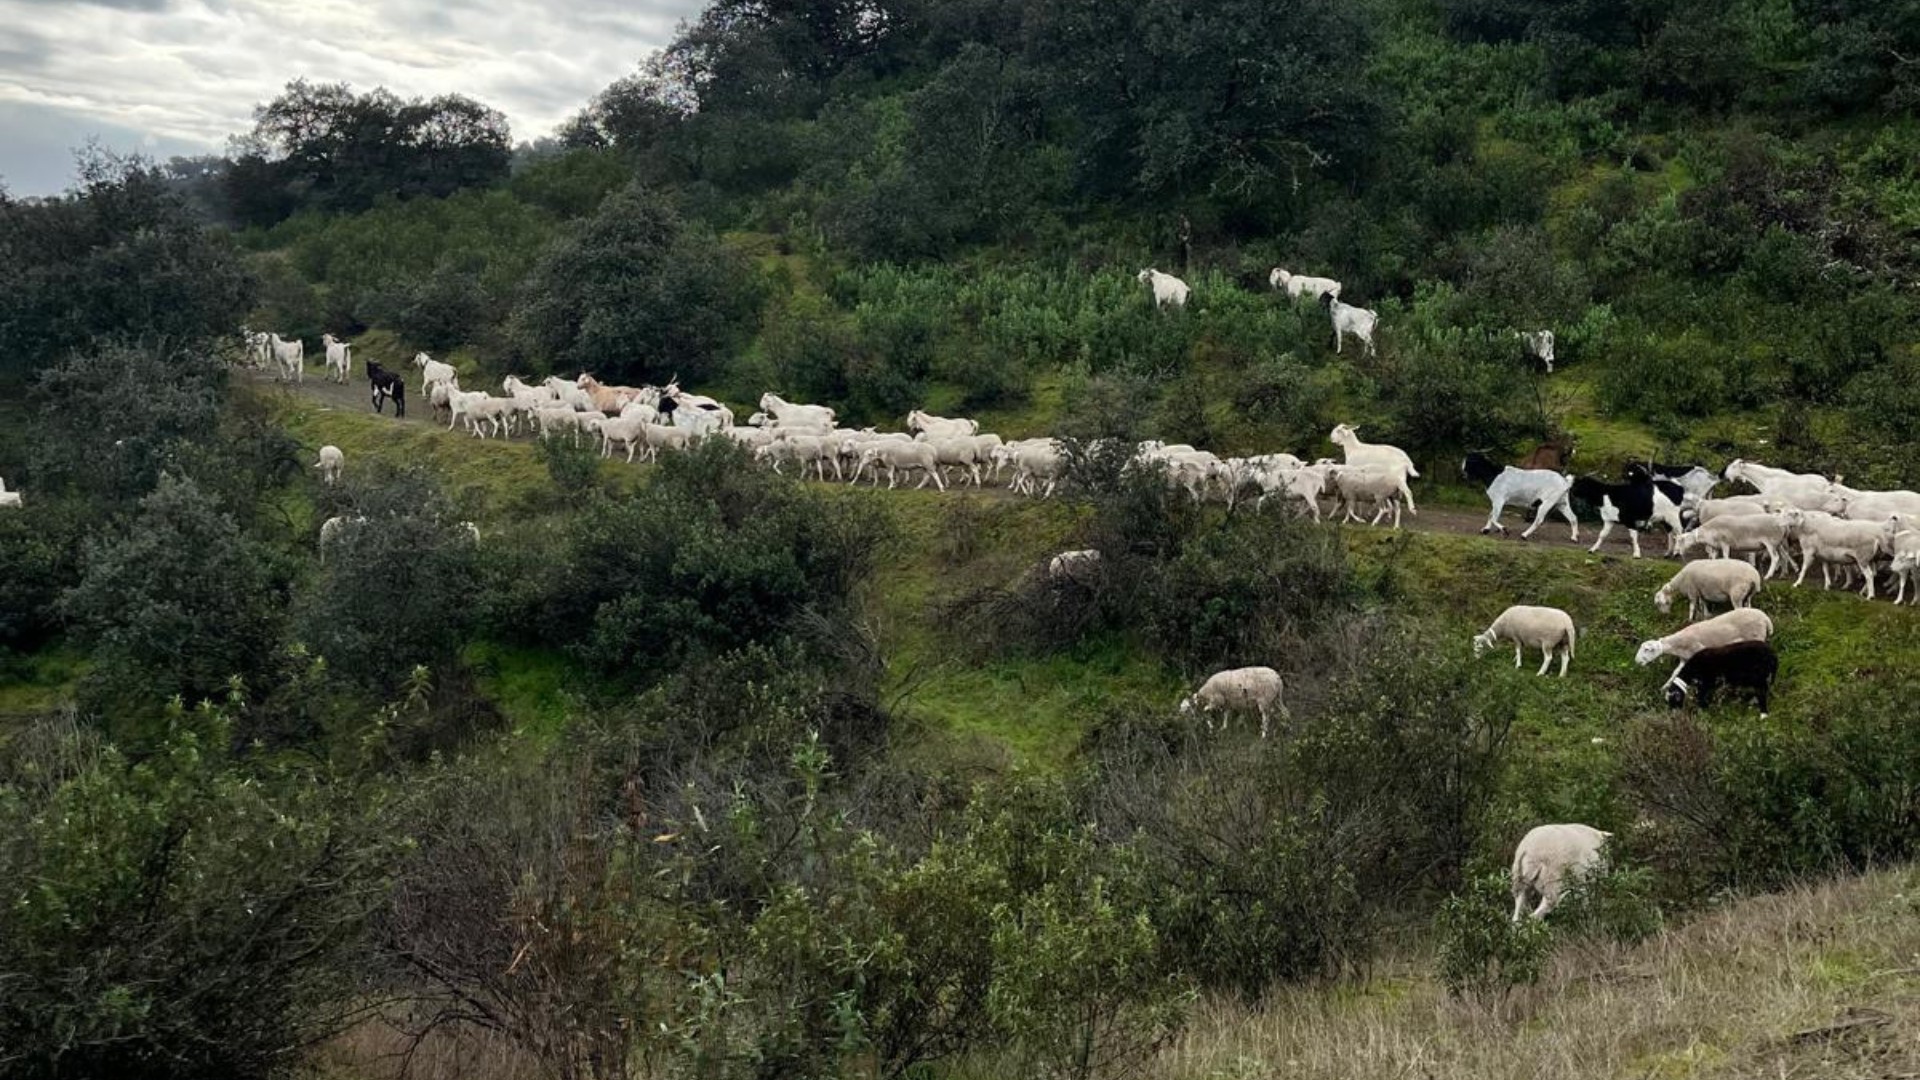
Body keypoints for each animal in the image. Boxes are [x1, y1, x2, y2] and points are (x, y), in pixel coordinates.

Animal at [1643, 607, 1774, 664]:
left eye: (1647, 650)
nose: (1639, 662)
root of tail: (1766, 618)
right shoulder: (1685, 658)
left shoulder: (1698, 650)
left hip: (1756, 637)